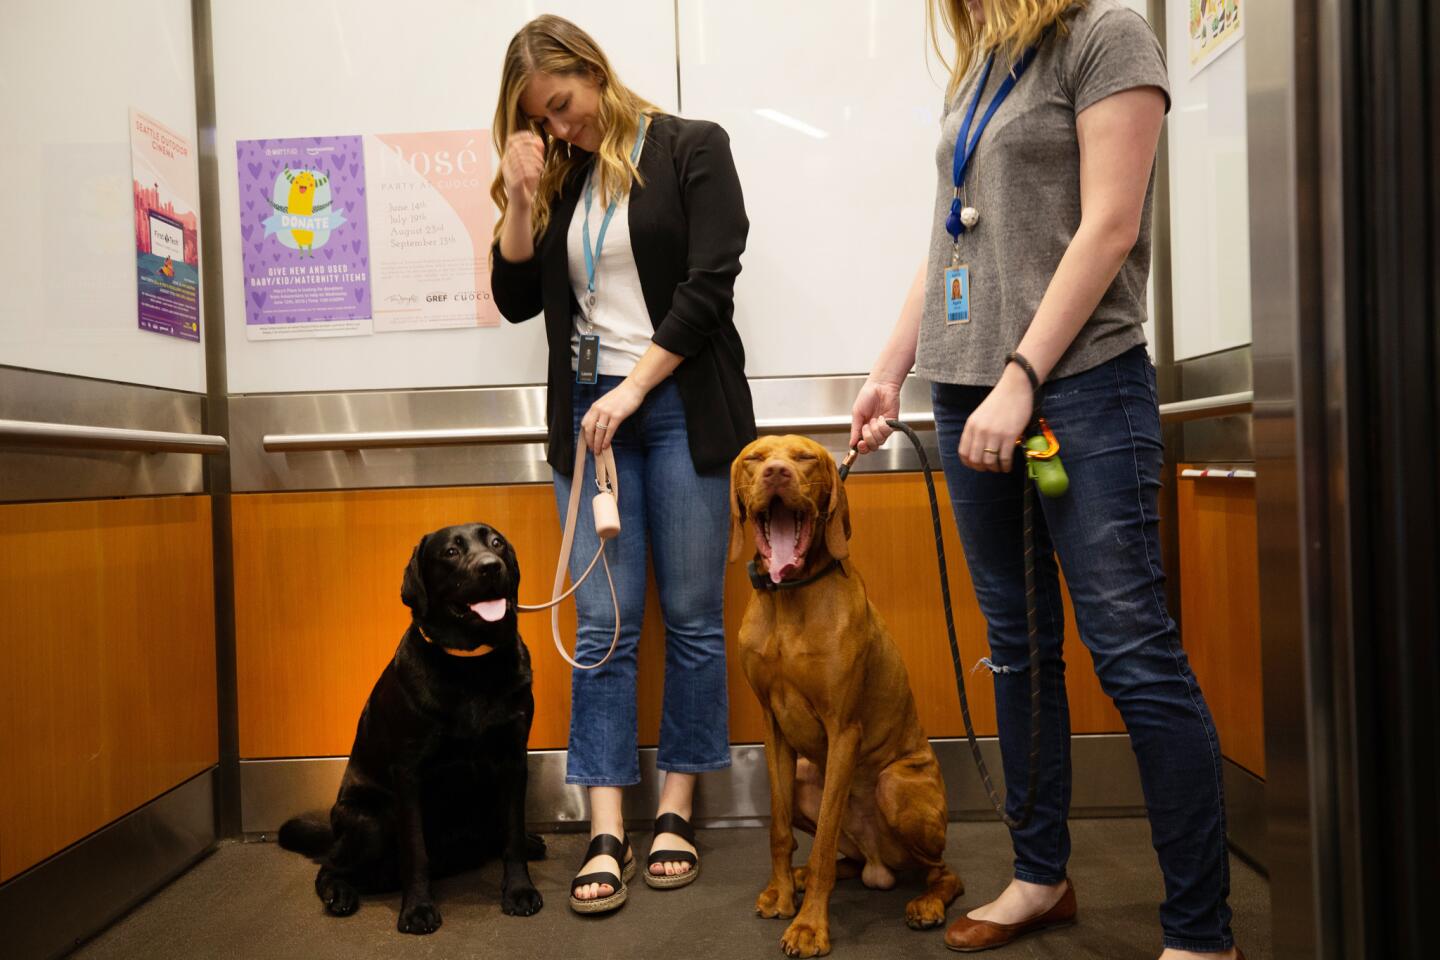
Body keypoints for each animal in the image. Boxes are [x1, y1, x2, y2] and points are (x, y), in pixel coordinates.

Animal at [725, 437, 961, 960]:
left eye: (804, 458)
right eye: (754, 458)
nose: (776, 473)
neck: (789, 596)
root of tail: (880, 864)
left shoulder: (843, 729)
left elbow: (824, 845)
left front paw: (809, 926)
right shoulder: (772, 727)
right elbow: (778, 828)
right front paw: (781, 894)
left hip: (896, 786)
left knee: (944, 872)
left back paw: (928, 904)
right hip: (806, 778)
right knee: (841, 857)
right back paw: (798, 878)